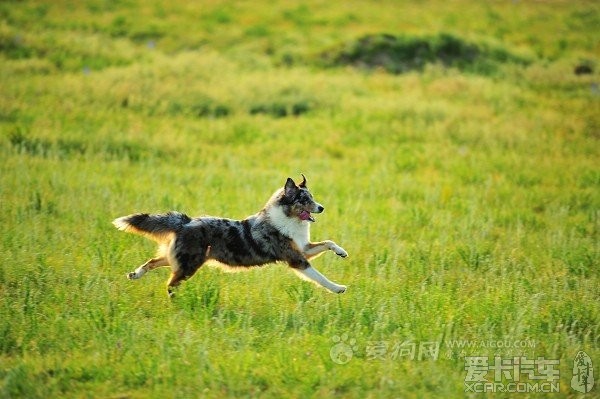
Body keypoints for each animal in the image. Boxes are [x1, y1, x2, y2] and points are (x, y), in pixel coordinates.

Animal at [112, 175, 346, 296]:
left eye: (312, 197)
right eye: (304, 200)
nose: (322, 208)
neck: (288, 218)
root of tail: (186, 221)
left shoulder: (303, 248)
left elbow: (328, 242)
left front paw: (341, 252)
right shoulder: (297, 259)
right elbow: (321, 278)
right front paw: (338, 288)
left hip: (179, 259)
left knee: (153, 261)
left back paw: (135, 274)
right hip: (189, 265)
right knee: (169, 284)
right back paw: (175, 302)